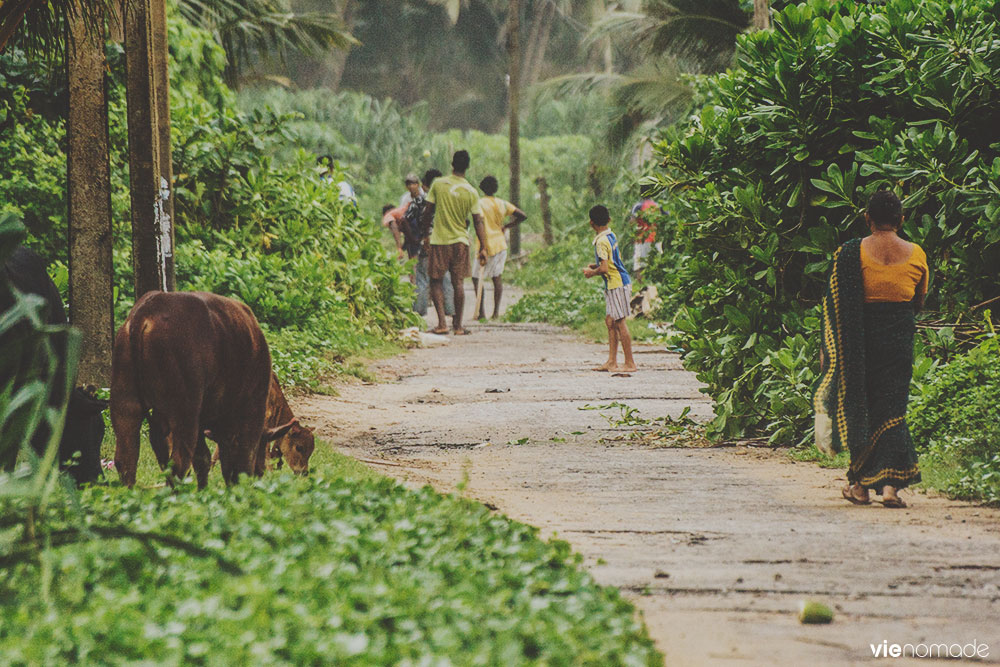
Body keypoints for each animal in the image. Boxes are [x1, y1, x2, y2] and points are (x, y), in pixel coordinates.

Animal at [113, 292, 294, 490]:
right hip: (185, 414)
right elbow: (241, 462)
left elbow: (204, 459)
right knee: (179, 463)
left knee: (126, 459)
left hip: (125, 404)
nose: (261, 473)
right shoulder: (252, 411)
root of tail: (146, 311)